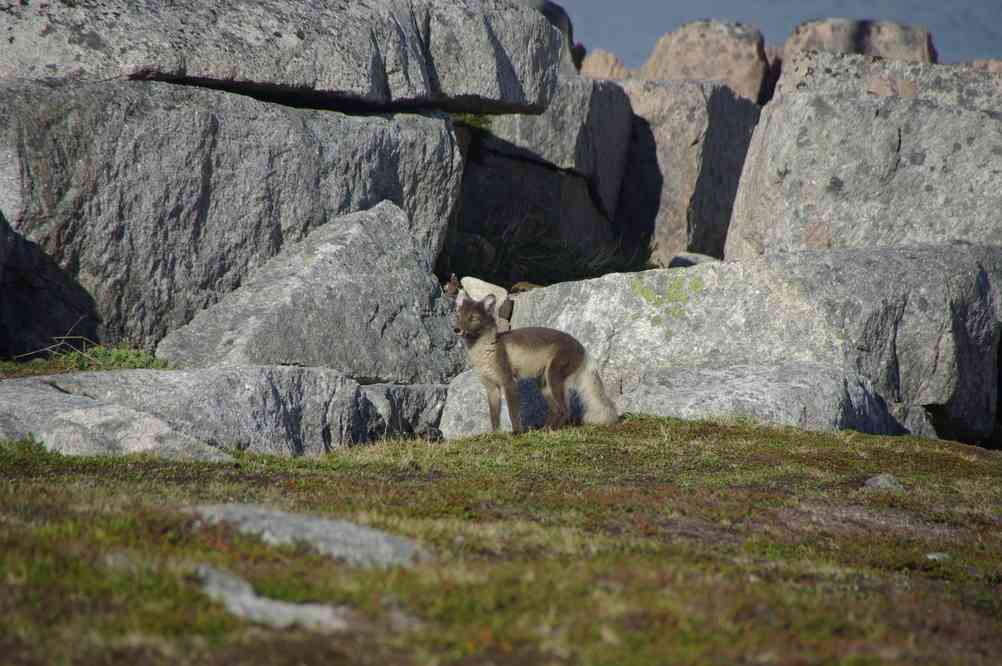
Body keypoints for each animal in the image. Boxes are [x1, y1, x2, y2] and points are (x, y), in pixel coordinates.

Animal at [454, 292, 618, 433]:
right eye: (458, 316)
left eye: (473, 318)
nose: (456, 329)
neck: (485, 351)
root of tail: (583, 348)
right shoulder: (491, 388)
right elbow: (494, 416)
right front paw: (495, 435)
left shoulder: (509, 382)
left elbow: (513, 413)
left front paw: (517, 434)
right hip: (545, 386)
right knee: (556, 409)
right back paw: (545, 430)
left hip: (554, 378)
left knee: (565, 410)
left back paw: (551, 431)